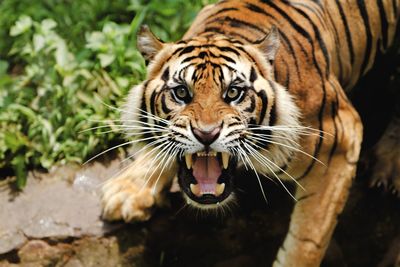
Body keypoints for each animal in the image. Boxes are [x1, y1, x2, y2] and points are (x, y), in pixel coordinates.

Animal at [100, 1, 400, 266]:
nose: (206, 134)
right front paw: (129, 189)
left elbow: (305, 244)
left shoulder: (340, 140)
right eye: (181, 93)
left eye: (234, 92)